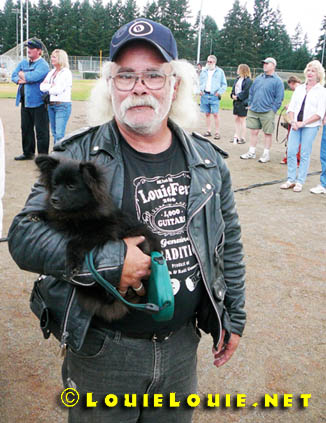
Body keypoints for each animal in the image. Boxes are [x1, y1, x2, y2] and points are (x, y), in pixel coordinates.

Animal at [33, 155, 160, 322]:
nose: (53, 199)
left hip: (142, 238)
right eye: (55, 185)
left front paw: (72, 264)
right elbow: (53, 216)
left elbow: (75, 242)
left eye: (71, 186)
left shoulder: (104, 231)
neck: (77, 213)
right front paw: (37, 214)